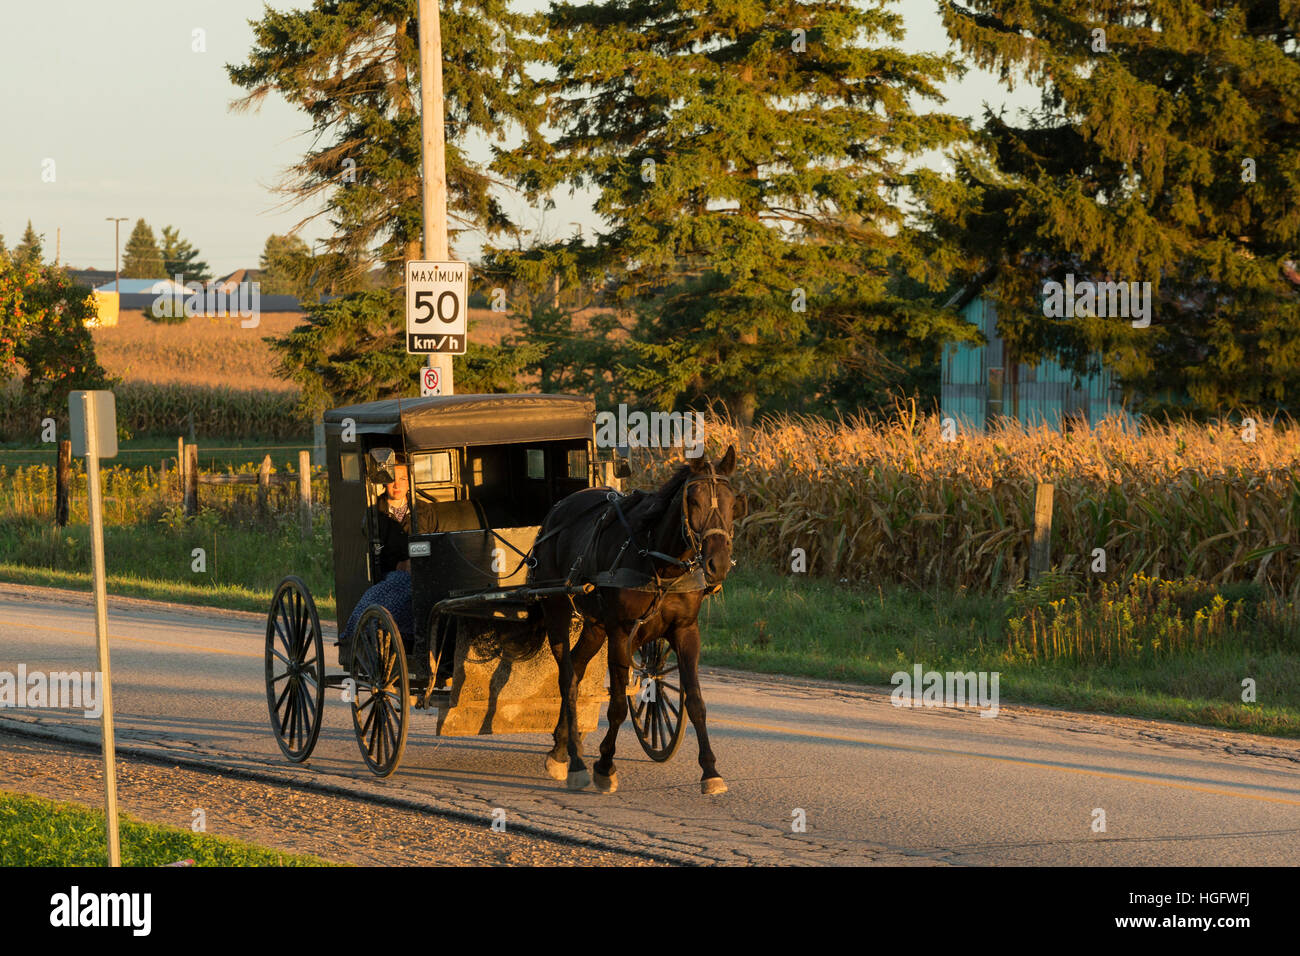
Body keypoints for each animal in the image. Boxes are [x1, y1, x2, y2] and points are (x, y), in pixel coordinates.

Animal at [527, 444, 748, 796]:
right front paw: (605, 765)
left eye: (731, 501)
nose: (718, 563)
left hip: (595, 625)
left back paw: (561, 747)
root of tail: (556, 512)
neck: (659, 560)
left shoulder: (686, 631)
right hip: (556, 607)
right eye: (693, 500)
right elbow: (618, 704)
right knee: (566, 677)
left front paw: (710, 771)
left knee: (577, 667)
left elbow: (695, 701)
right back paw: (575, 762)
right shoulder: (621, 631)